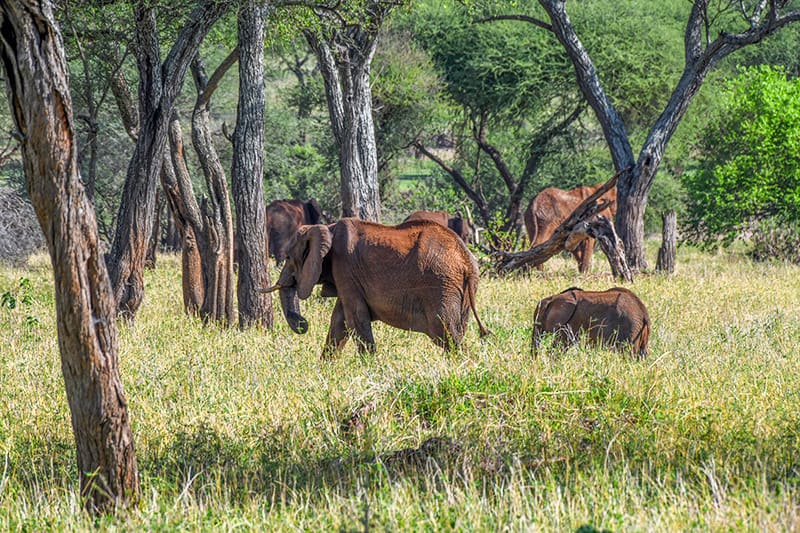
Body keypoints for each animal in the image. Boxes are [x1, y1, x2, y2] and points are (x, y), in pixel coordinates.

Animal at [260, 216, 490, 358]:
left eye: (288, 257)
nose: (303, 325)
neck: (326, 227)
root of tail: (466, 260)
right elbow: (339, 321)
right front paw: (325, 371)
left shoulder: (345, 269)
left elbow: (355, 319)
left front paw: (369, 367)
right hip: (462, 291)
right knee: (457, 331)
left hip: (441, 286)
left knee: (446, 334)